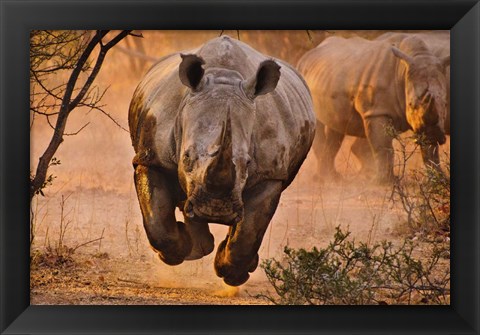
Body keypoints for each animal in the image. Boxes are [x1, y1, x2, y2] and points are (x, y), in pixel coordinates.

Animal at [129, 36, 316, 286]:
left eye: (248, 163)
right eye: (186, 157)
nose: (215, 210)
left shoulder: (270, 174)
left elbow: (248, 232)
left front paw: (232, 273)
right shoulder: (151, 157)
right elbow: (157, 222)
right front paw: (176, 252)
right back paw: (198, 247)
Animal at [298, 35, 448, 182]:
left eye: (445, 104)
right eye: (410, 104)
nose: (434, 134)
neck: (402, 72)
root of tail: (308, 54)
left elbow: (430, 150)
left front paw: (440, 180)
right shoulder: (376, 111)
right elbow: (383, 146)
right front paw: (386, 182)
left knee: (335, 128)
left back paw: (332, 177)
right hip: (304, 76)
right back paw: (324, 179)